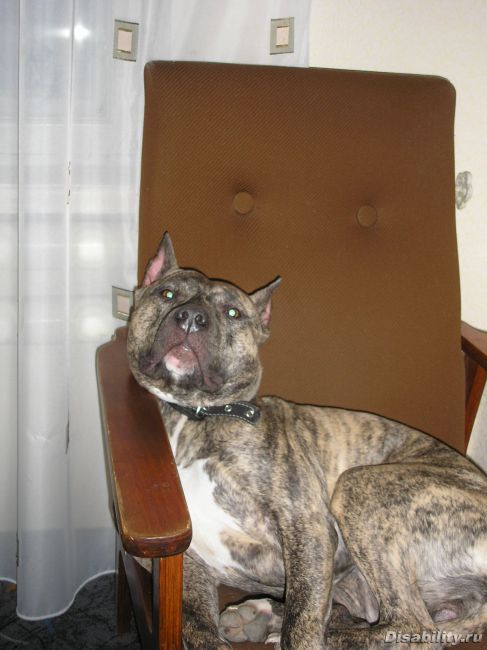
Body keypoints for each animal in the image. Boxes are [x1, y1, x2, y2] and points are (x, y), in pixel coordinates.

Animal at [127, 232, 487, 649]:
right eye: (167, 294)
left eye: (232, 313)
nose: (191, 317)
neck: (195, 416)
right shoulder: (189, 563)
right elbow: (197, 627)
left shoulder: (308, 527)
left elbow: (302, 621)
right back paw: (260, 615)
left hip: (360, 486)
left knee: (412, 627)